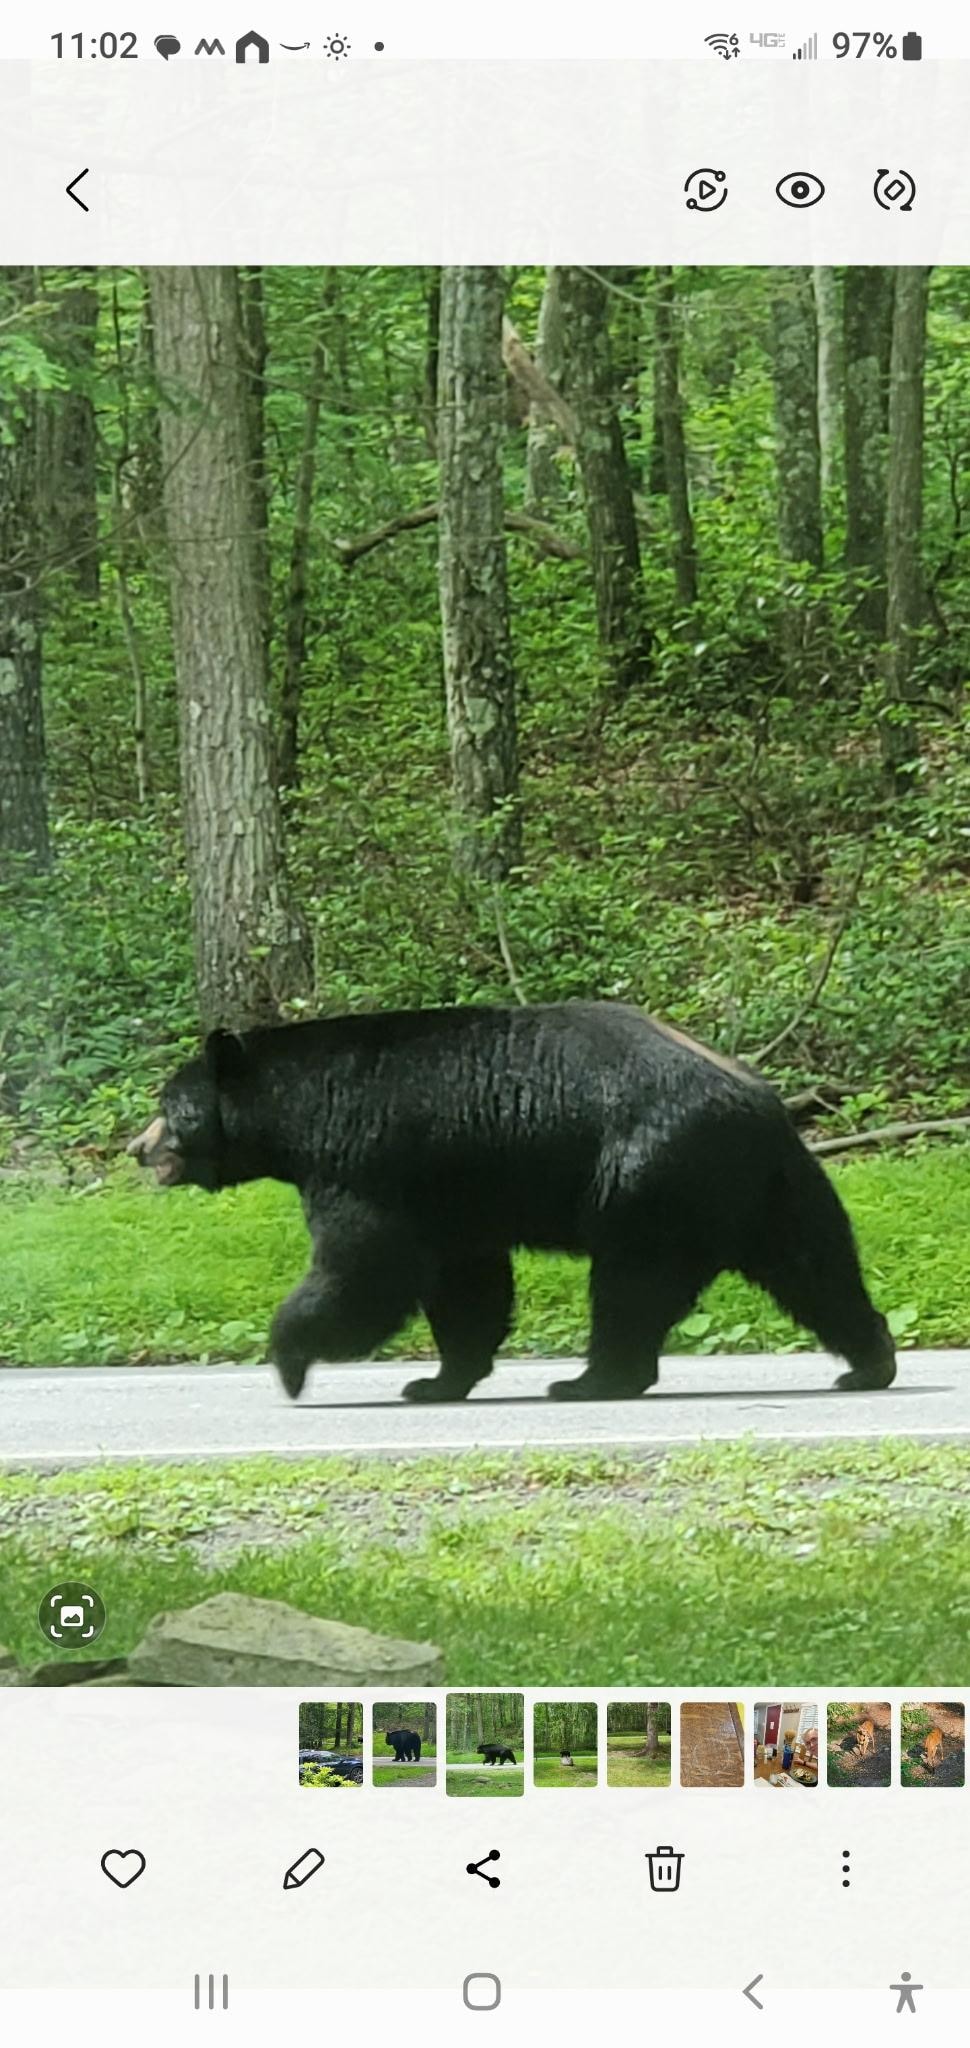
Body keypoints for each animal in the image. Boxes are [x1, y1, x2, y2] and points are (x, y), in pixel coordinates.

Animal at [127, 1001, 895, 1405]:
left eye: (169, 1105)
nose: (138, 1147)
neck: (300, 1114)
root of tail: (757, 1097)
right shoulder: (452, 1197)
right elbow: (466, 1284)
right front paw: (438, 1379)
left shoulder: (370, 1164)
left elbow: (365, 1267)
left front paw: (290, 1359)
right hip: (764, 1187)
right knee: (815, 1267)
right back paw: (868, 1362)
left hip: (647, 1175)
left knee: (632, 1284)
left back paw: (591, 1378)